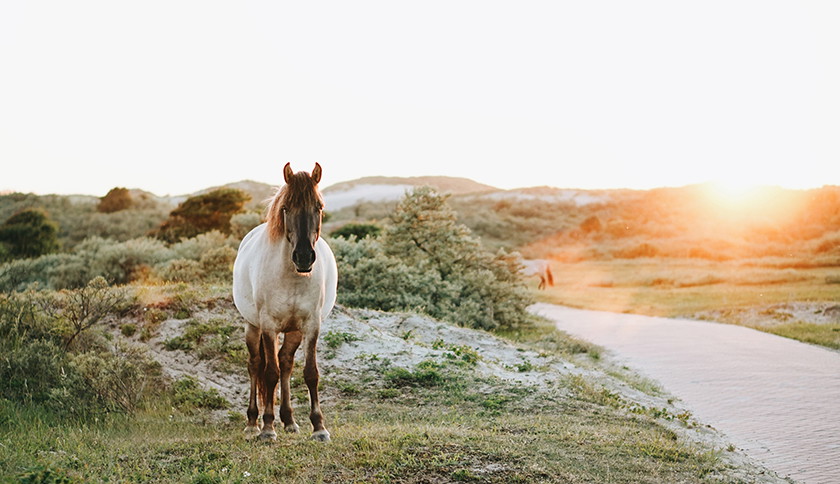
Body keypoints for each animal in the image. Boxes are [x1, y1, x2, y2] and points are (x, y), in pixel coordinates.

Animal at [232, 163, 338, 442]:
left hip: (293, 331)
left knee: (287, 363)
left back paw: (289, 420)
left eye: (318, 207)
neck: (293, 276)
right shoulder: (269, 326)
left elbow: (310, 373)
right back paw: (253, 423)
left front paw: (319, 427)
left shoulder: (311, 326)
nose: (303, 257)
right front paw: (267, 429)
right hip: (252, 326)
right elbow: (270, 373)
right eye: (286, 208)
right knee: (256, 365)